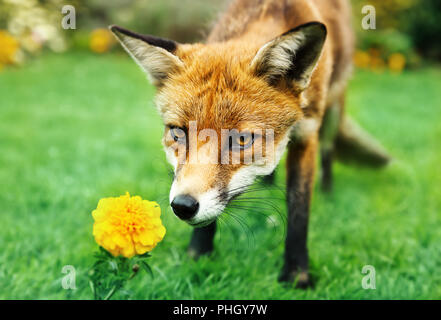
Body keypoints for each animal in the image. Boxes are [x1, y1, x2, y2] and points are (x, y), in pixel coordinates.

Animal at [110, 0, 388, 288]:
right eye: (178, 133)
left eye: (240, 140)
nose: (183, 206)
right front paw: (198, 256)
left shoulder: (307, 134)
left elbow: (298, 209)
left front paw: (296, 276)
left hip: (332, 110)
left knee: (328, 150)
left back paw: (328, 190)